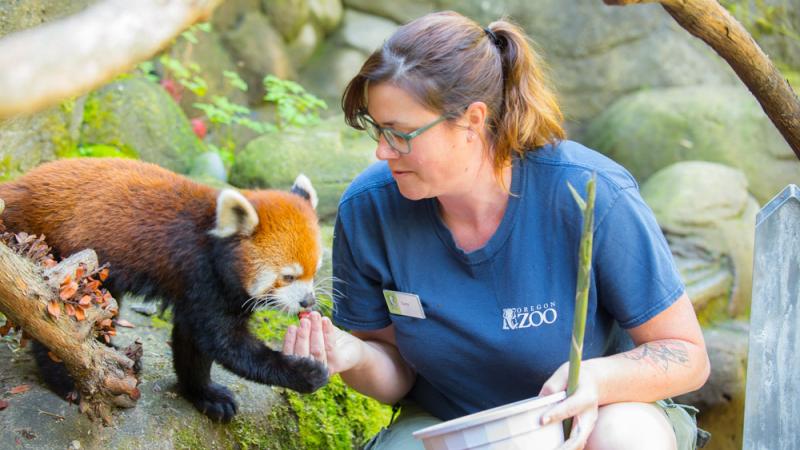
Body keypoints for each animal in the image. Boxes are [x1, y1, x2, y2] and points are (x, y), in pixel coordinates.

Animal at [0, 157, 328, 422]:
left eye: (315, 270)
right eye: (287, 276)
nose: (307, 301)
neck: (212, 243)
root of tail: (15, 188)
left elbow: (192, 342)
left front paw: (203, 394)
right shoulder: (201, 276)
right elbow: (224, 343)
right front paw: (306, 373)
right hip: (57, 255)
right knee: (58, 326)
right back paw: (68, 379)